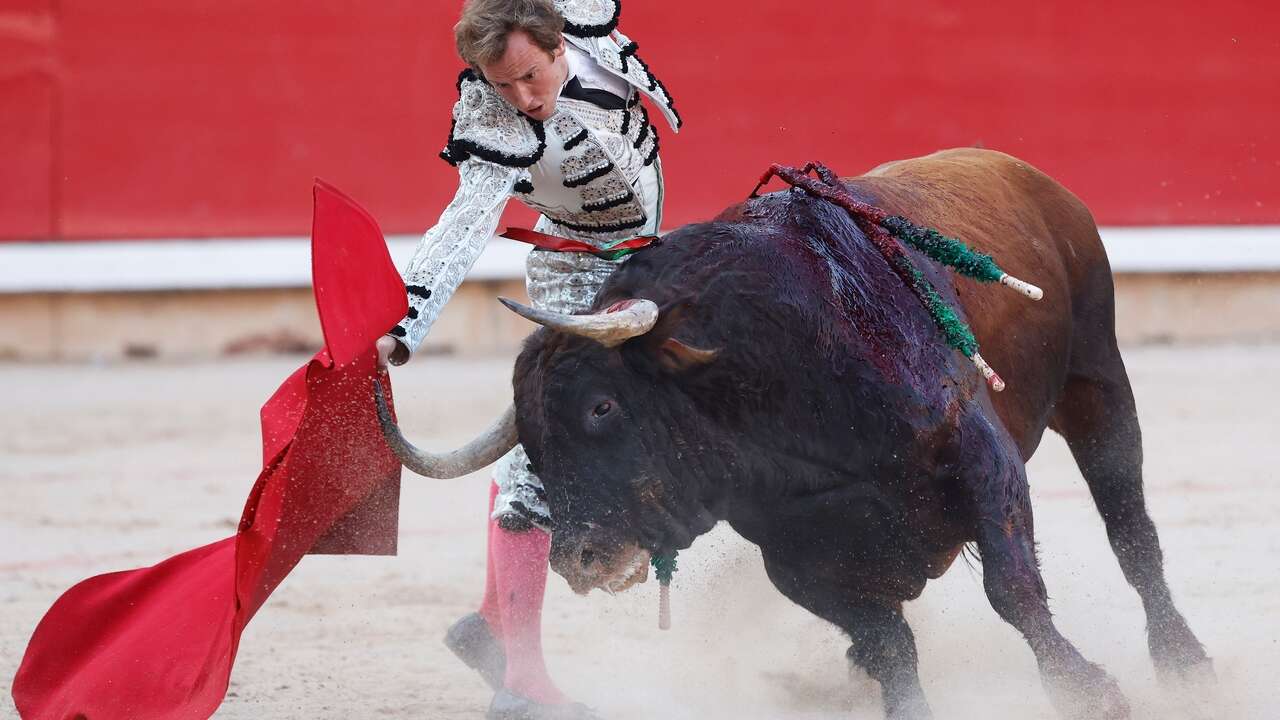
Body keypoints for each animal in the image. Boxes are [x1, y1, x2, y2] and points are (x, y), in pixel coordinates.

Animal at [376, 148, 1208, 712]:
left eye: (601, 408)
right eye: (534, 437)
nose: (577, 559)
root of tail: (1023, 172)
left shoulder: (982, 461)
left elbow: (1014, 590)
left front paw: (1088, 690)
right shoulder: (795, 559)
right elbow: (889, 645)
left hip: (1097, 379)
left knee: (1131, 527)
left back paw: (1184, 660)